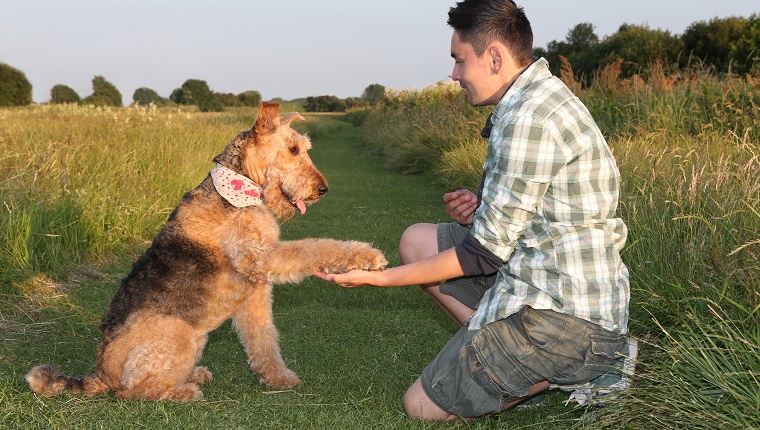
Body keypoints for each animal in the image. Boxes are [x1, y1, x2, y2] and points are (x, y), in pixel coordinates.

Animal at [27, 102, 388, 402]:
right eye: (293, 148)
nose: (322, 190)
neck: (241, 189)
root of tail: (100, 374)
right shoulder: (264, 256)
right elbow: (316, 247)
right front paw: (367, 256)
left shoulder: (256, 293)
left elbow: (265, 343)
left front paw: (279, 379)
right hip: (179, 332)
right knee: (133, 392)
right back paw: (184, 391)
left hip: (193, 338)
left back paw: (193, 376)